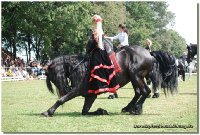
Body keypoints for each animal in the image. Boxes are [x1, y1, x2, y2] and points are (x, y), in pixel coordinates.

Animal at [41, 38, 177, 116]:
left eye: (53, 77)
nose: (64, 88)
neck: (80, 67)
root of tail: (149, 53)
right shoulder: (90, 96)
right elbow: (84, 111)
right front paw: (101, 111)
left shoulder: (77, 90)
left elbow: (61, 100)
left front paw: (48, 111)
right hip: (134, 77)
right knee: (139, 92)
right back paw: (129, 107)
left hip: (136, 75)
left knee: (145, 91)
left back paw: (136, 109)